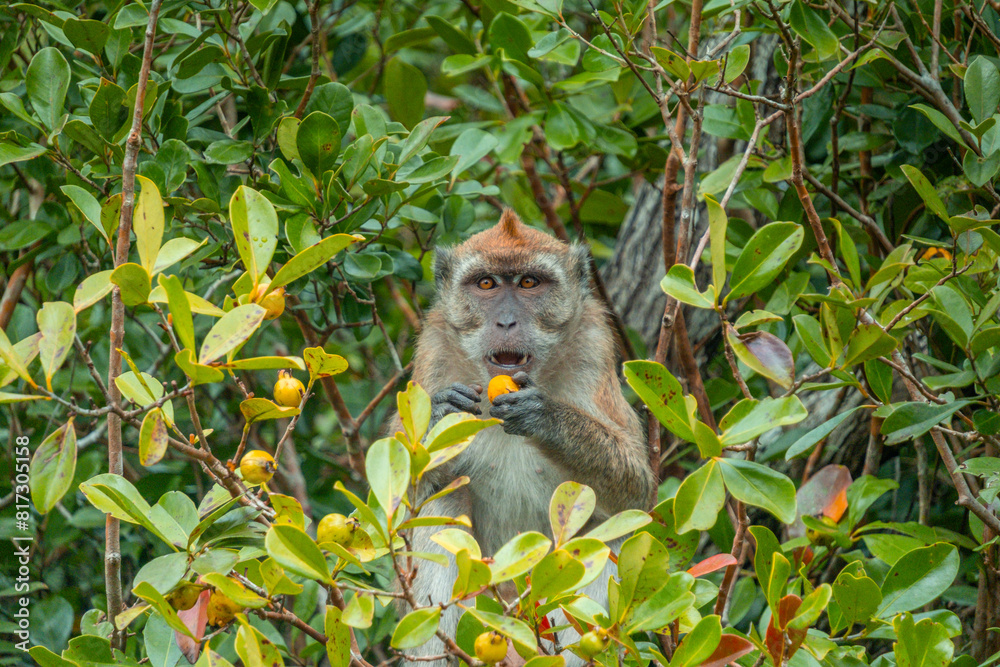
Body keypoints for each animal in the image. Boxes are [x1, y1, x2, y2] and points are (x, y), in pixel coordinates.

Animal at [394, 210, 655, 666]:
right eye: (486, 284)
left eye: (529, 283)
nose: (506, 322)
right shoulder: (433, 350)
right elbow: (394, 504)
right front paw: (441, 417)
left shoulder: (593, 345)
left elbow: (635, 492)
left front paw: (544, 416)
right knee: (442, 503)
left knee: (605, 530)